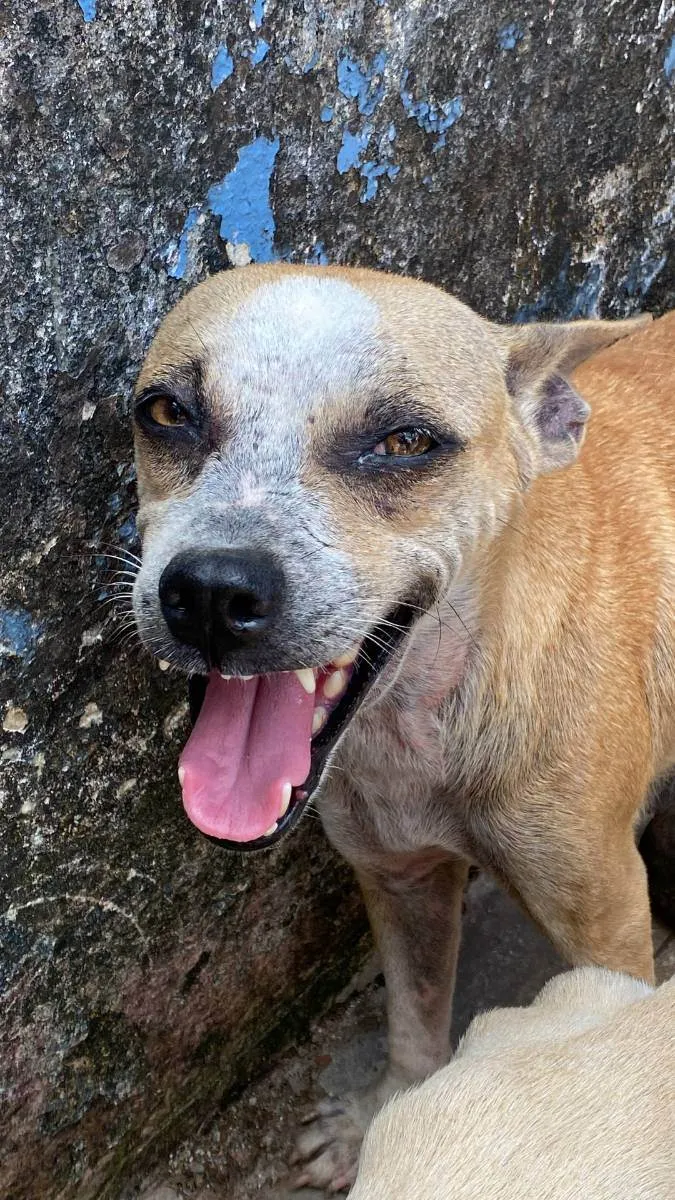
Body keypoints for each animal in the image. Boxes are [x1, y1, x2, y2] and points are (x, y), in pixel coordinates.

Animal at [128, 267, 667, 1195]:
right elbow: (415, 1025)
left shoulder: (604, 932)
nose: (211, 592)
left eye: (405, 440)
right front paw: (374, 1120)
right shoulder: (399, 878)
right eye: (165, 412)